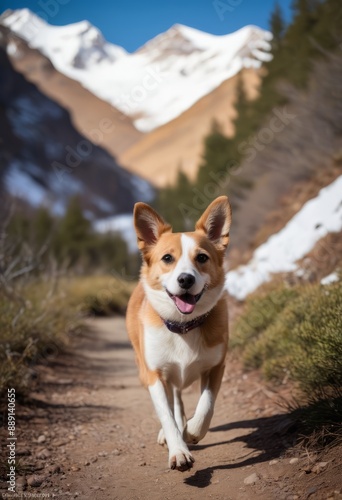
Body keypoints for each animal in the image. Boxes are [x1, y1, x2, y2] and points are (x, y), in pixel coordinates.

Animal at [127, 196, 231, 472]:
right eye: (167, 258)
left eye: (202, 257)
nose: (185, 279)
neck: (183, 326)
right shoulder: (154, 375)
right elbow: (167, 415)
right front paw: (178, 450)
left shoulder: (216, 367)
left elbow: (206, 405)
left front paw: (192, 431)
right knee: (172, 401)